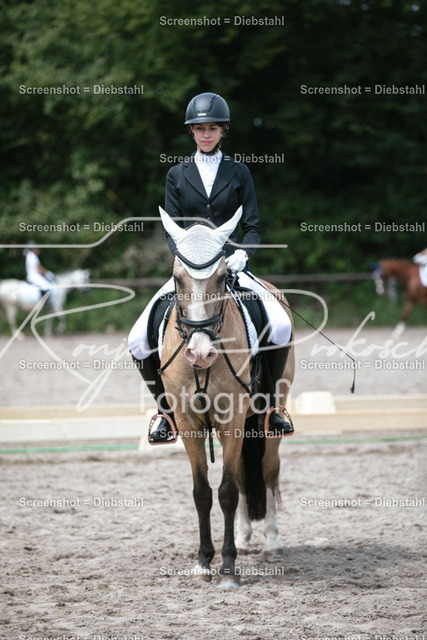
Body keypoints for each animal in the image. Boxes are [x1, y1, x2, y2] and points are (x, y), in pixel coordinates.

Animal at [156, 206, 294, 587]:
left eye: (221, 278)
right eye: (177, 279)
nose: (200, 353)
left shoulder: (232, 420)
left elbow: (228, 492)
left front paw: (228, 569)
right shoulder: (189, 422)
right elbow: (203, 493)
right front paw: (204, 561)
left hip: (266, 416)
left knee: (268, 469)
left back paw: (272, 541)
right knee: (246, 474)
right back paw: (246, 539)